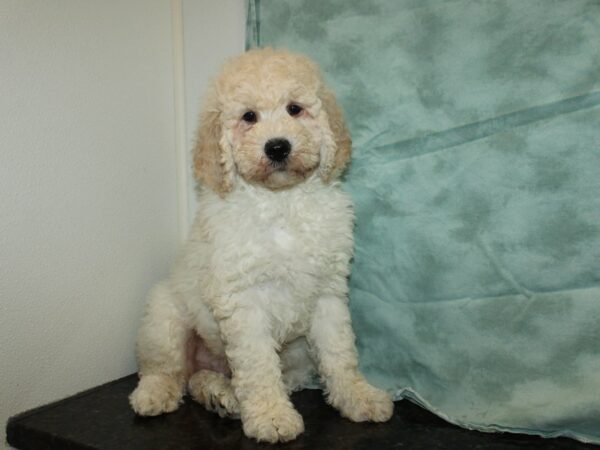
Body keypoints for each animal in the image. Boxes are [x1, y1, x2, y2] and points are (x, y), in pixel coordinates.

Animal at [129, 47, 394, 442]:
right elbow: (257, 365)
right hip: (163, 314)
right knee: (168, 368)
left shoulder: (328, 292)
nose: (278, 147)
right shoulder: (244, 299)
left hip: (295, 353)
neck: (281, 202)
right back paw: (159, 394)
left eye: (295, 109)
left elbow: (339, 352)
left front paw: (358, 396)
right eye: (248, 117)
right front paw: (271, 416)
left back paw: (221, 395)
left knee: (205, 377)